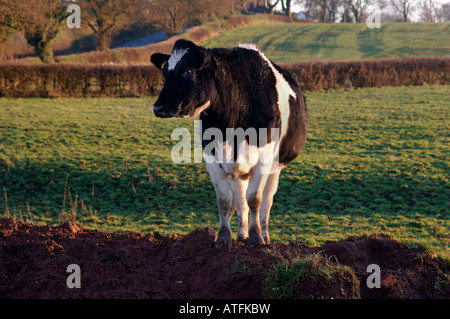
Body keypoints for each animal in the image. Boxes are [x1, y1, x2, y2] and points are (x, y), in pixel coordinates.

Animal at [153, 40, 308, 249]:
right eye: (164, 71)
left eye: (186, 70)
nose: (158, 107)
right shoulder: (212, 158)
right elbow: (225, 200)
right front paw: (224, 239)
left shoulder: (264, 159)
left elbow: (255, 199)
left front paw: (256, 238)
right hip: (238, 171)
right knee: (241, 200)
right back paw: (241, 235)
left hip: (275, 167)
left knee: (266, 201)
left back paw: (265, 236)